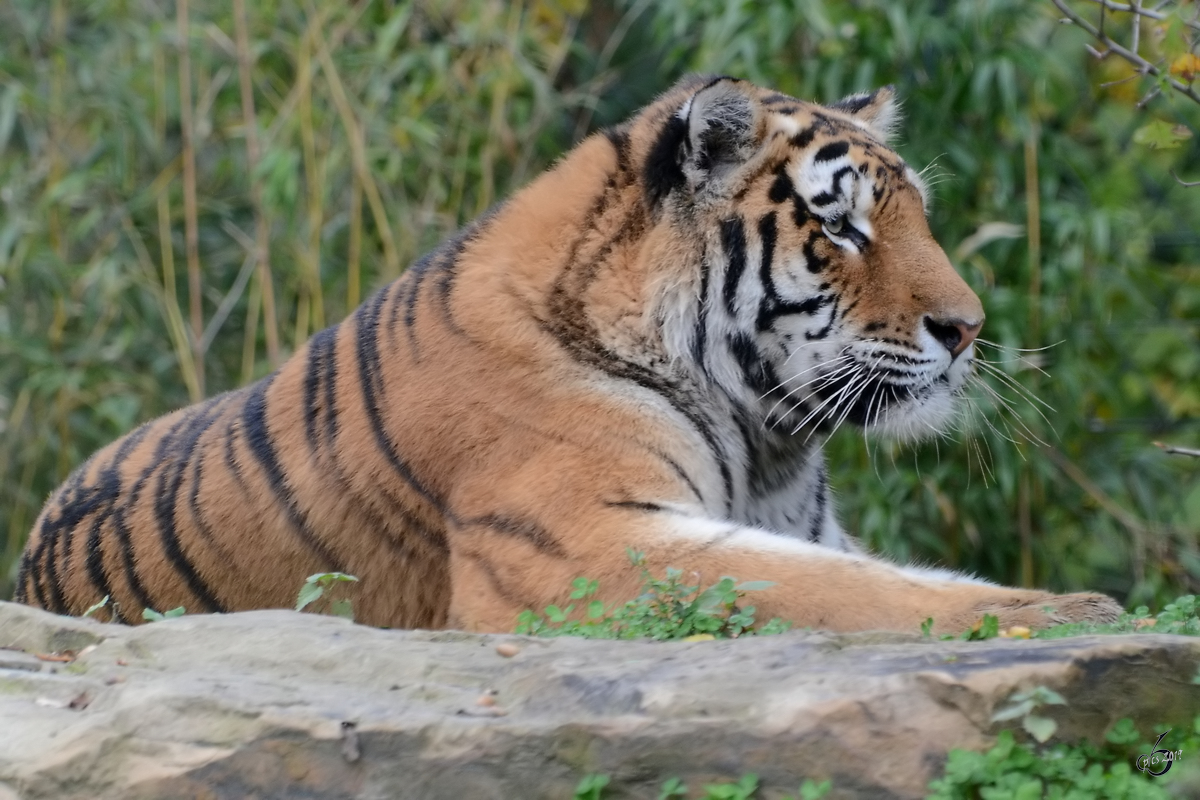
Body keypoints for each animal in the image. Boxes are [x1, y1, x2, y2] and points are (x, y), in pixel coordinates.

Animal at [16, 77, 1123, 633]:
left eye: (918, 217)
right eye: (840, 226)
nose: (968, 327)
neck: (765, 441)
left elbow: (878, 575)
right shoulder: (581, 546)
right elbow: (856, 591)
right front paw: (1079, 609)